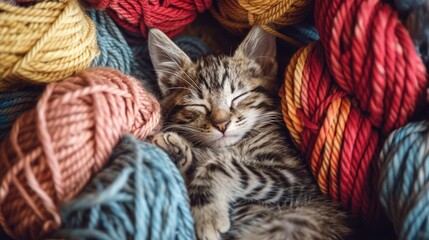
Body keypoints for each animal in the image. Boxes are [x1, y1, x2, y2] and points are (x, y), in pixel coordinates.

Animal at [147, 26, 352, 240]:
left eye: (238, 97)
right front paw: (177, 150)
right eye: (199, 105)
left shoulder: (295, 176)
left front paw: (207, 212)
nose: (222, 124)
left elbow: (221, 167)